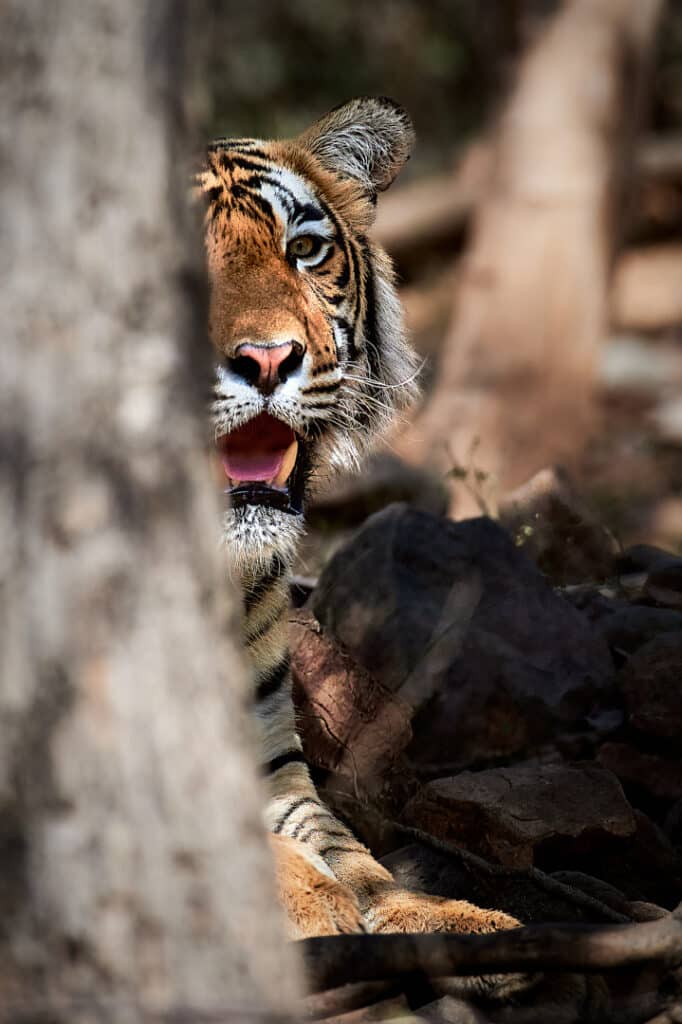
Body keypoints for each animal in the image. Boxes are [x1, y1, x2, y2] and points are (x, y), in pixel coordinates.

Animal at [199, 96, 522, 990]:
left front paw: (458, 925)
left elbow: (352, 853)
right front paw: (310, 906)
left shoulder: (269, 755)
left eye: (303, 250)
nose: (267, 358)